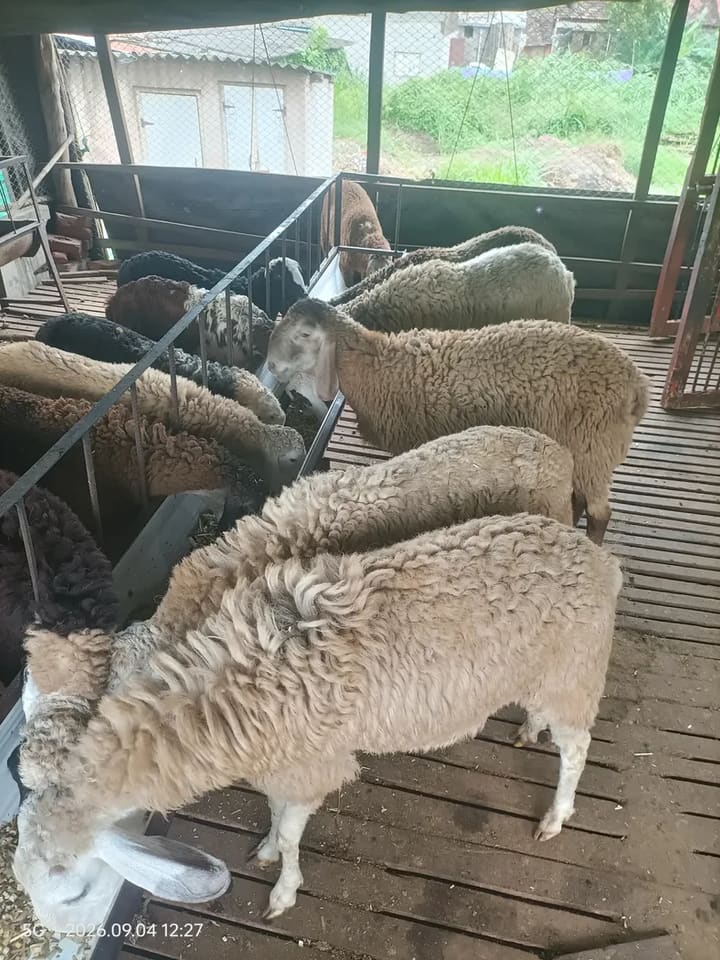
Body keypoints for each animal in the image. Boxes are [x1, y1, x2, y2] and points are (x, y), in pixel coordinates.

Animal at [13, 512, 622, 929]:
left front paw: (283, 889)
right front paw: (264, 848)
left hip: (575, 671)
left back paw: (556, 816)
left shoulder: (312, 766)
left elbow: (290, 832)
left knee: (578, 749)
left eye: (70, 889)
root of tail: (599, 559)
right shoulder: (283, 761)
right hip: (545, 674)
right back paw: (530, 728)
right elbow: (274, 813)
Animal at [267, 300, 651, 544]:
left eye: (304, 334)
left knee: (601, 512)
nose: (270, 366)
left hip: (594, 445)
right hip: (587, 453)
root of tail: (636, 386)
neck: (376, 366)